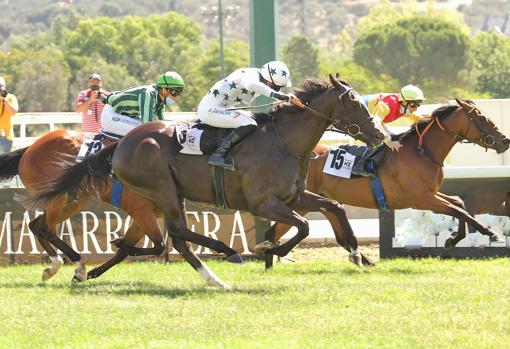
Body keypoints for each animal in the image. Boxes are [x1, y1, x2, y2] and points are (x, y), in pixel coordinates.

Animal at [31, 74, 382, 286]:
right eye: (354, 102)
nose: (379, 134)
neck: (284, 142)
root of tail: (122, 142)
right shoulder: (262, 202)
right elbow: (304, 225)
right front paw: (270, 246)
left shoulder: (293, 196)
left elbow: (333, 207)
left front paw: (356, 253)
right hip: (163, 190)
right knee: (178, 234)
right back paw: (226, 255)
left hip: (166, 195)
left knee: (175, 239)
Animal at [264, 99, 510, 268]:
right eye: (481, 118)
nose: (505, 141)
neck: (422, 152)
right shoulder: (421, 199)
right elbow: (460, 211)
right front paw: (490, 233)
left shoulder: (430, 194)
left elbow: (458, 204)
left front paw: (452, 239)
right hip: (301, 203)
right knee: (274, 232)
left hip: (320, 201)